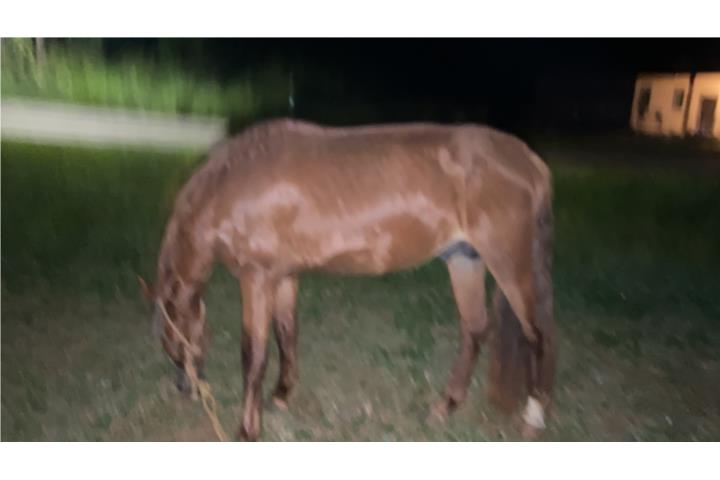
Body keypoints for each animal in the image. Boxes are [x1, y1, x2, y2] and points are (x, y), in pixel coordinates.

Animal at [138, 118, 555, 441]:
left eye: (170, 338)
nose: (186, 389)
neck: (233, 183)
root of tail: (528, 160)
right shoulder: (283, 275)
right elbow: (286, 332)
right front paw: (282, 394)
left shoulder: (256, 278)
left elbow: (253, 355)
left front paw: (247, 430)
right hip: (463, 260)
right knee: (475, 329)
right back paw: (445, 404)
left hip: (506, 261)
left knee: (535, 333)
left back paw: (534, 416)